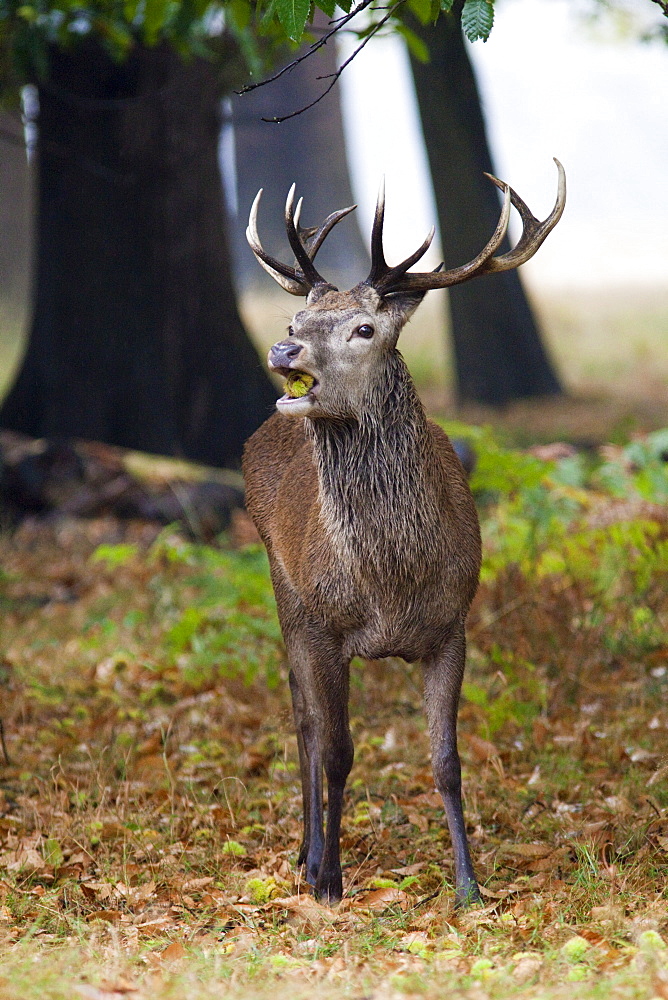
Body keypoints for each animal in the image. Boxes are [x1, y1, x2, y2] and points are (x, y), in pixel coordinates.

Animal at [240, 158, 564, 908]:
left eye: (364, 328)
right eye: (297, 317)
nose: (283, 347)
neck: (392, 586)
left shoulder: (452, 628)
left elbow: (446, 759)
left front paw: (470, 886)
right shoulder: (326, 627)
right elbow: (336, 749)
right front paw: (330, 881)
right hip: (283, 588)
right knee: (302, 720)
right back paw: (307, 854)